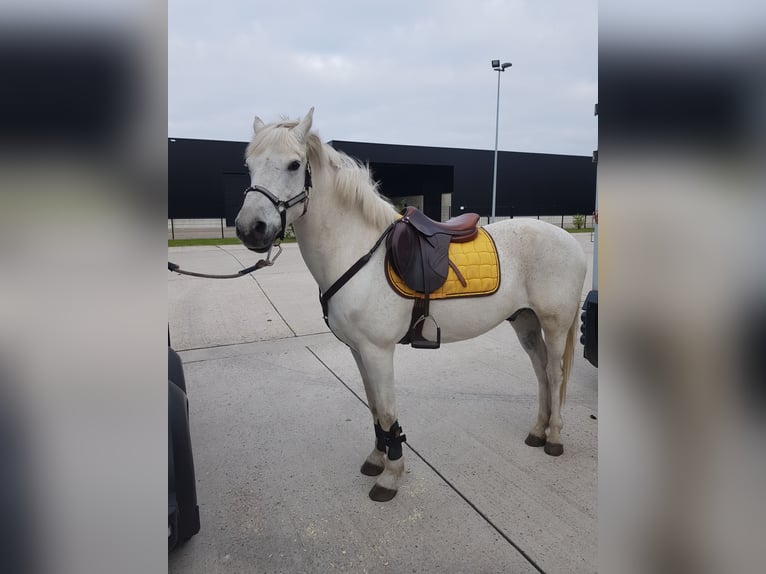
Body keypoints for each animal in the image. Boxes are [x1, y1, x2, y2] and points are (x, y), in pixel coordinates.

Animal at [234, 109, 588, 504]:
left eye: (294, 164)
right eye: (249, 166)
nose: (250, 228)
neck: (358, 252)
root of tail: (569, 239)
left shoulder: (378, 351)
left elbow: (388, 414)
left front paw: (391, 476)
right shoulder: (358, 350)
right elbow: (374, 407)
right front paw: (377, 459)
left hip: (555, 324)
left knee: (555, 374)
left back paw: (554, 437)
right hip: (524, 322)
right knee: (541, 371)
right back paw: (538, 430)